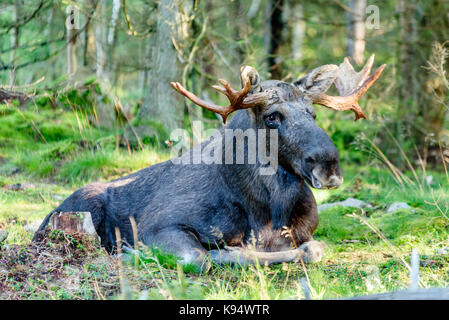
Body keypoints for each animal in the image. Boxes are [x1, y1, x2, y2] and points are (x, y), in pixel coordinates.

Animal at [35, 55, 384, 270]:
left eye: (312, 114)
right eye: (272, 117)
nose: (329, 166)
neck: (266, 210)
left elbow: (313, 249)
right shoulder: (157, 225)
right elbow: (203, 257)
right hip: (84, 207)